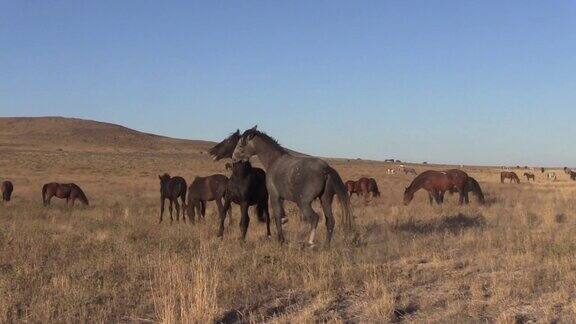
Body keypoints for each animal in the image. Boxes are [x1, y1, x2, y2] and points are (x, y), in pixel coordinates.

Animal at [214, 126, 354, 246]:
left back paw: (310, 243)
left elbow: (276, 216)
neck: (274, 160)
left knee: (315, 218)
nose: (234, 157)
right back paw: (326, 245)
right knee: (330, 221)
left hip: (303, 202)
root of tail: (326, 169)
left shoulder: (274, 196)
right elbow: (280, 215)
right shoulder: (281, 198)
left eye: (241, 144)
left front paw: (281, 239)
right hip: (325, 200)